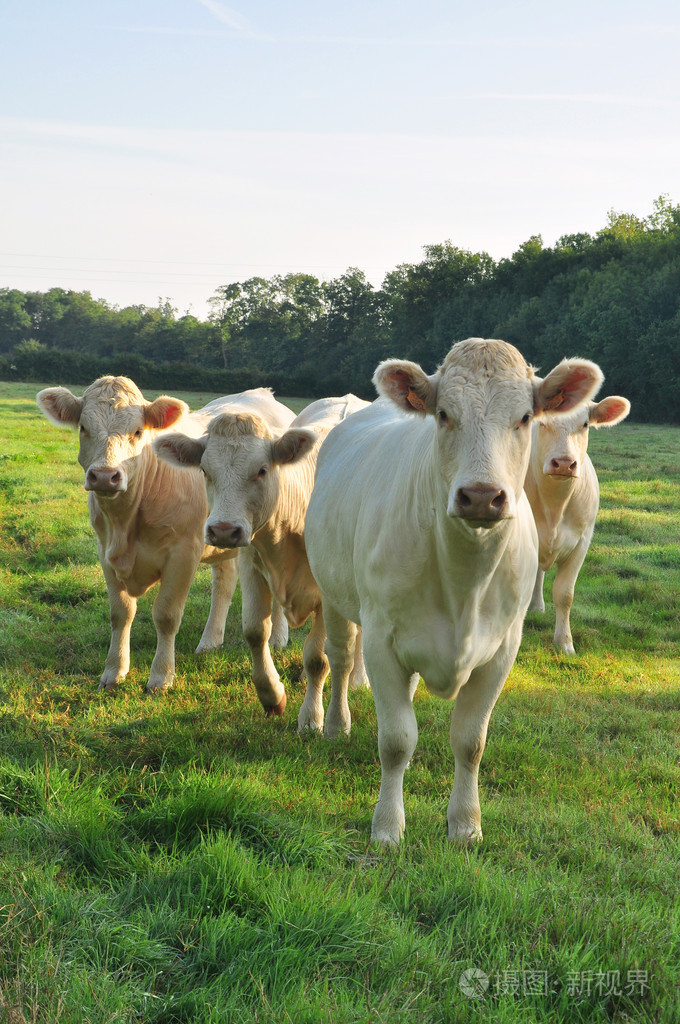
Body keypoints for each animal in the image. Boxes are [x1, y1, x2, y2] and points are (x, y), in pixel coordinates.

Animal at [35, 380, 292, 692]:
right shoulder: (105, 552)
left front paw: (160, 676)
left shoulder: (183, 553)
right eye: (84, 427)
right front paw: (114, 670)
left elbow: (166, 615)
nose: (105, 475)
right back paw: (210, 641)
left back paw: (278, 638)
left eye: (137, 431)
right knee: (225, 582)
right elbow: (120, 613)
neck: (125, 522)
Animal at [154, 395, 368, 716]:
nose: (223, 530)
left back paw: (359, 679)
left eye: (262, 470)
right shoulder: (253, 567)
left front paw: (312, 716)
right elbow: (255, 632)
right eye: (205, 471)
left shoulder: (328, 594)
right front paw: (272, 694)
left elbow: (319, 658)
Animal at [305, 339, 602, 843]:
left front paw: (465, 824)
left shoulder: (502, 648)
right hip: (335, 594)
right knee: (341, 659)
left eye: (525, 417)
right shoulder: (383, 640)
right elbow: (396, 740)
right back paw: (336, 723)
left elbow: (470, 742)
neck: (465, 582)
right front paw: (387, 827)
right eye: (443, 414)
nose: (481, 495)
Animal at [524, 395, 630, 651]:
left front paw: (564, 642)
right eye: (542, 423)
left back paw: (537, 606)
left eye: (585, 424)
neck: (554, 506)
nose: (563, 463)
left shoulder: (581, 543)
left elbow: (565, 594)